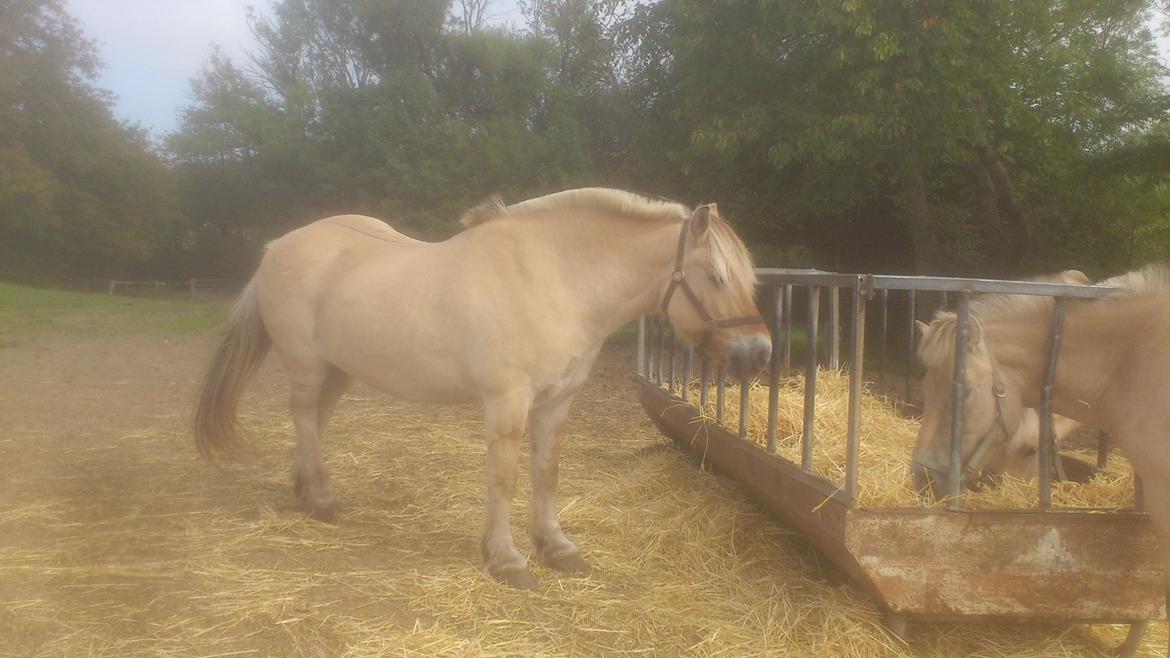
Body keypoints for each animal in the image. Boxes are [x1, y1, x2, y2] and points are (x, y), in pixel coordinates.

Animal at [195, 187, 772, 585]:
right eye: (715, 277)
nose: (759, 353)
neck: (557, 280)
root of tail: (277, 247)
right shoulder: (507, 403)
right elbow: (504, 479)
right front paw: (507, 559)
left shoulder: (556, 403)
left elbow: (546, 473)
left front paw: (557, 548)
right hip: (307, 365)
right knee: (303, 417)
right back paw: (320, 498)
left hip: (339, 370)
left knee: (314, 421)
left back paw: (306, 487)